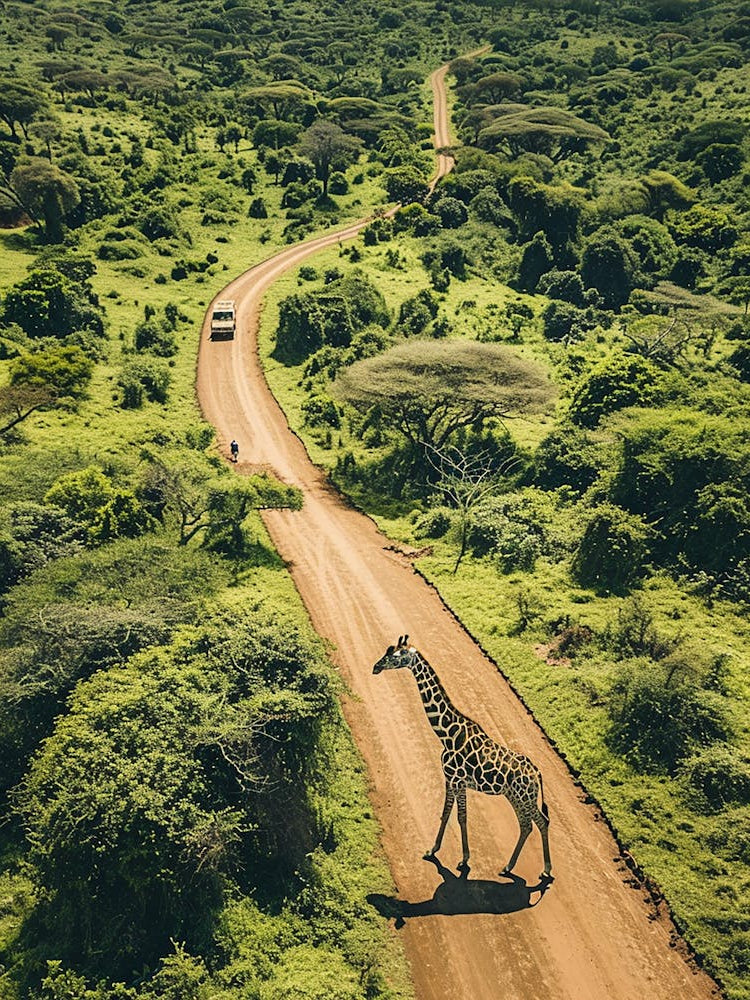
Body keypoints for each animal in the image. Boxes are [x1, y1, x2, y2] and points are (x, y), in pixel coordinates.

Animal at [373, 635, 552, 878]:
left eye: (396, 655)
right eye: (387, 650)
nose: (375, 667)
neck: (446, 734)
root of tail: (538, 773)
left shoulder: (457, 780)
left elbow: (460, 817)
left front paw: (464, 860)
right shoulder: (450, 779)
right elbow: (447, 812)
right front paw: (433, 850)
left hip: (525, 797)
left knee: (541, 821)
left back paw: (544, 870)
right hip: (515, 797)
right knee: (527, 825)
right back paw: (509, 866)